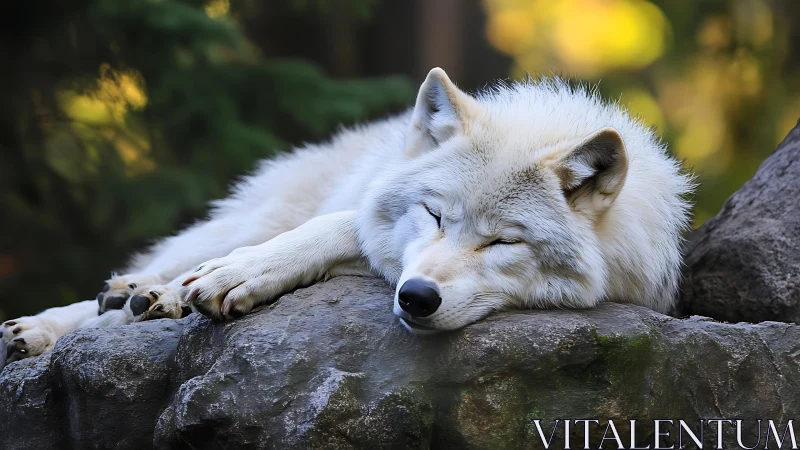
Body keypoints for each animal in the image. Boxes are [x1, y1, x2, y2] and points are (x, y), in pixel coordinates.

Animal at [2, 68, 693, 366]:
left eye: (502, 242)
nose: (416, 297)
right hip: (250, 216)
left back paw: (144, 298)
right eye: (434, 215)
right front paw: (236, 274)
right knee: (165, 264)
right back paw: (59, 320)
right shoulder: (362, 216)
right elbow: (337, 224)